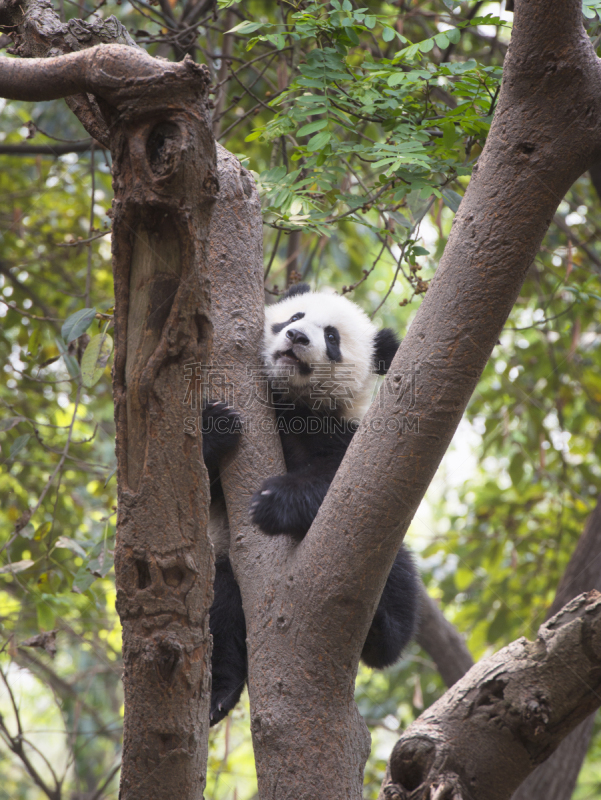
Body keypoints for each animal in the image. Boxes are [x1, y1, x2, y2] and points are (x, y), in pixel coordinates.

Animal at [202, 284, 418, 728]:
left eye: (332, 337)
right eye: (295, 316)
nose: (297, 337)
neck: (292, 402)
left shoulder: (347, 435)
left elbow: (343, 482)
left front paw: (273, 502)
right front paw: (217, 424)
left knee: (398, 575)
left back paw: (380, 630)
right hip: (223, 559)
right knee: (222, 611)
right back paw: (219, 695)